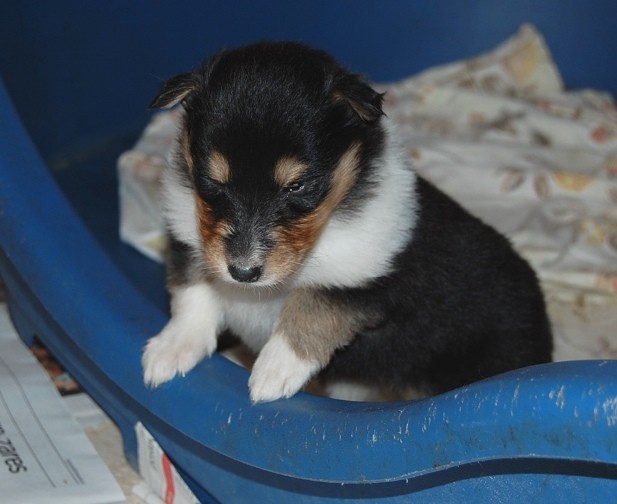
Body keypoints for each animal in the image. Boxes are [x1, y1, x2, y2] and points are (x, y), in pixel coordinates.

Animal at [142, 42, 552, 406]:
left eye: (298, 185)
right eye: (213, 181)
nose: (243, 273)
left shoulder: (366, 283)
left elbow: (312, 304)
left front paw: (273, 373)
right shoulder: (192, 241)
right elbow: (193, 290)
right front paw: (169, 351)